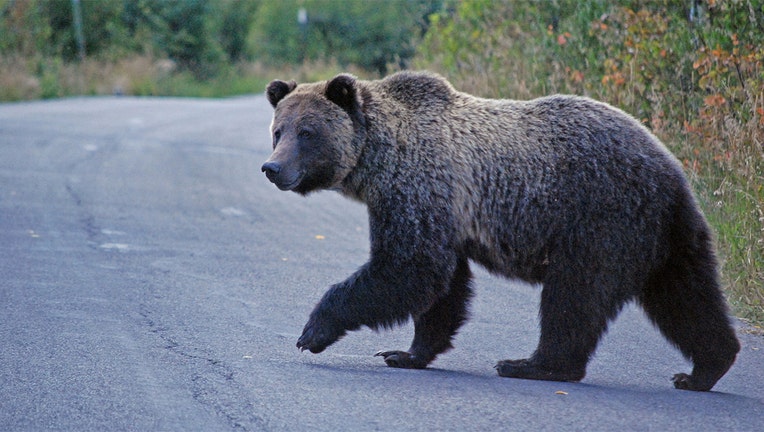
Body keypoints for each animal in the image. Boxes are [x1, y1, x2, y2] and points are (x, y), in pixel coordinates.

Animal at [262, 71, 740, 392]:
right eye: (277, 131)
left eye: (307, 132)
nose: (272, 168)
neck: (378, 159)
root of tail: (671, 168)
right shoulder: (445, 213)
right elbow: (443, 287)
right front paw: (406, 353)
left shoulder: (418, 187)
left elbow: (408, 267)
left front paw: (313, 332)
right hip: (665, 233)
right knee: (685, 295)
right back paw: (704, 368)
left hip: (600, 217)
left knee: (575, 295)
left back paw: (532, 364)